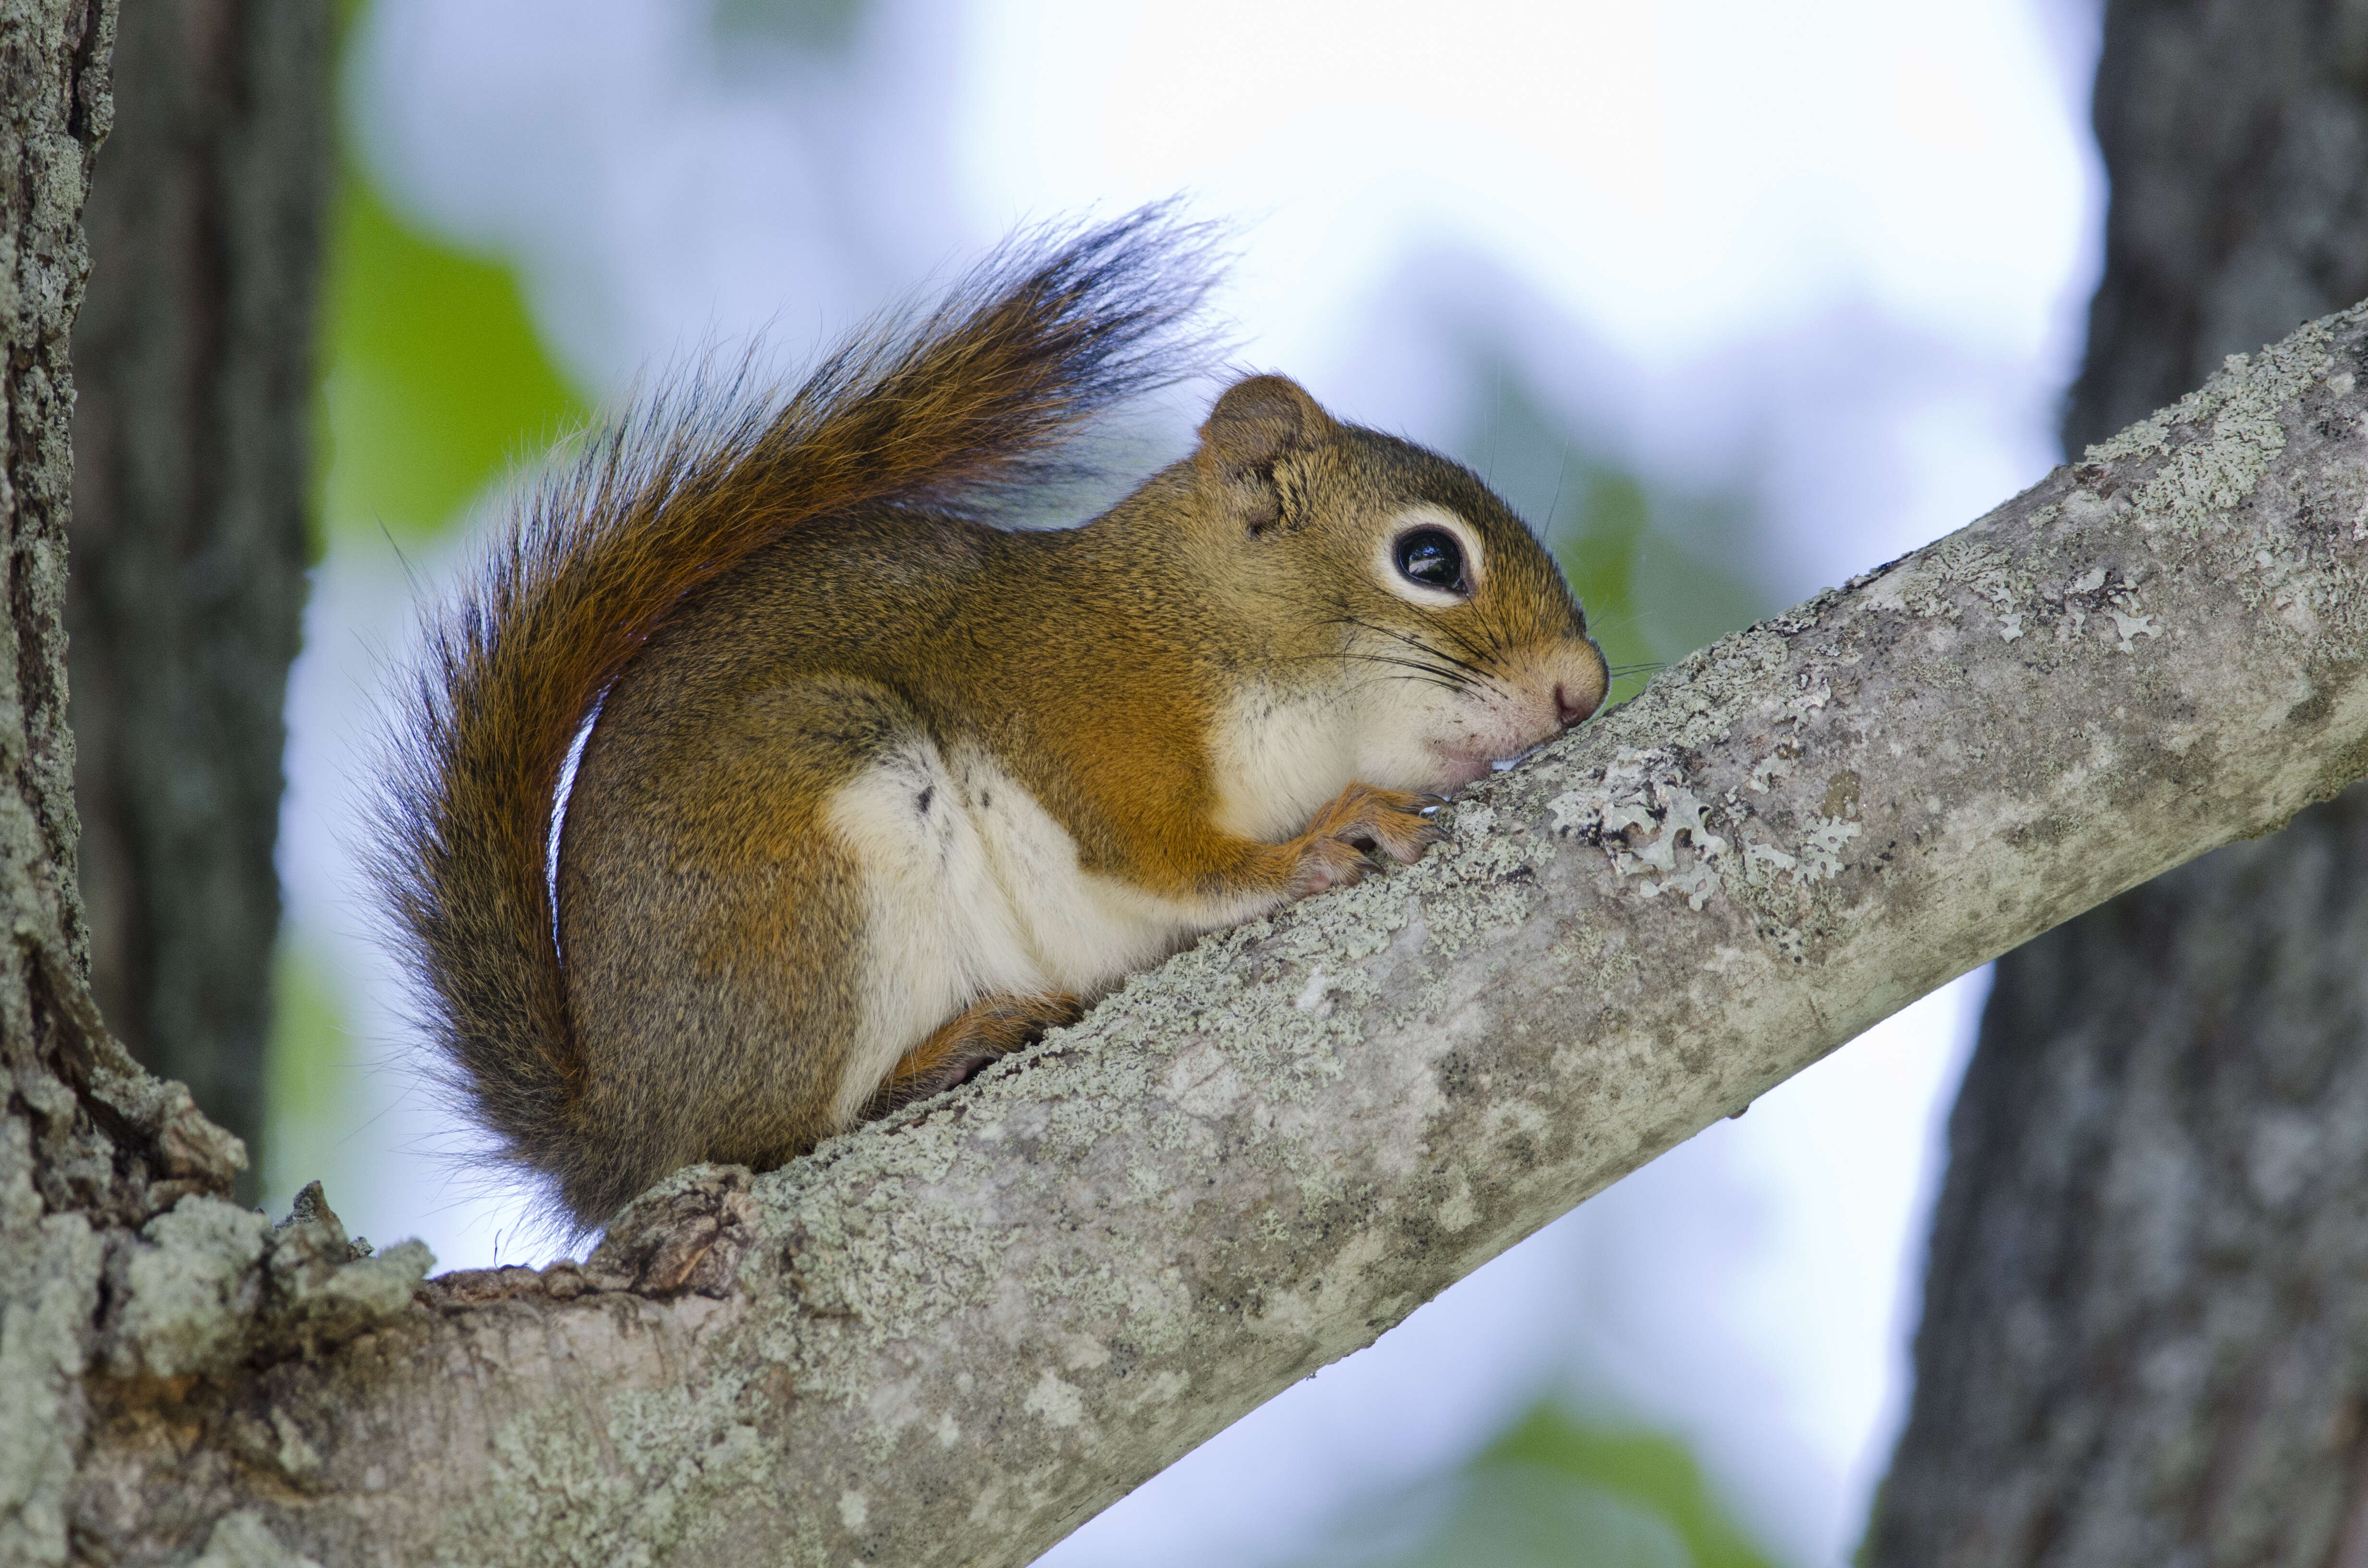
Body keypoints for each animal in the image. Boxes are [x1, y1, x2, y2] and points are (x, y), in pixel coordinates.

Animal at [374, 212, 1610, 1241]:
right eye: (1430, 559)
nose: (1584, 690)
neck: (1202, 625)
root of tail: (617, 1125)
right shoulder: (1087, 717)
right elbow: (1166, 858)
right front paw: (1324, 836)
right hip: (810, 824)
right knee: (772, 1138)